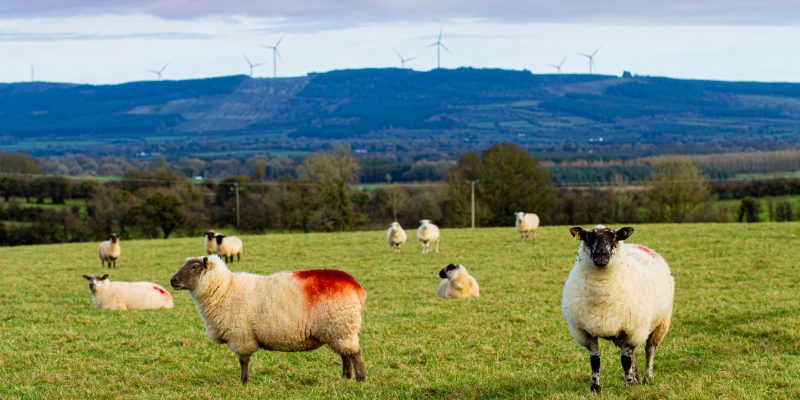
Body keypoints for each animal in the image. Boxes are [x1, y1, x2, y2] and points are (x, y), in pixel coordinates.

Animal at [170, 255, 367, 384]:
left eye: (194, 267)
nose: (172, 280)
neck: (224, 290)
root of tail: (356, 286)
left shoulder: (241, 336)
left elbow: (243, 361)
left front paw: (244, 382)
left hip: (342, 326)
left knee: (355, 354)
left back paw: (360, 379)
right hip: (338, 330)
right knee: (346, 355)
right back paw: (345, 378)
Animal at [561, 225, 674, 393]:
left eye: (615, 237)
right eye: (587, 237)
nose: (601, 254)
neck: (602, 293)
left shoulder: (634, 331)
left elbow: (625, 360)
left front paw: (628, 384)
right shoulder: (585, 332)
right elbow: (595, 361)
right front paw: (595, 387)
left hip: (661, 323)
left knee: (649, 350)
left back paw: (647, 377)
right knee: (632, 354)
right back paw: (636, 377)